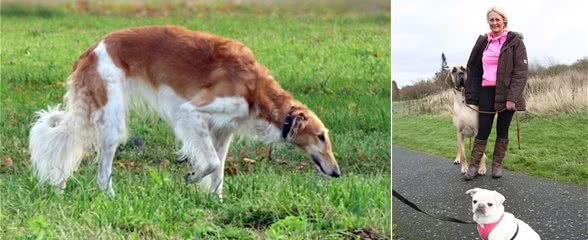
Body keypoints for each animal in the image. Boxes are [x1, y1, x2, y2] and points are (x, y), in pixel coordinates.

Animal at [28, 25, 340, 199]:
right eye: (321, 137)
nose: (337, 173)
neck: (255, 90)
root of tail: (91, 49)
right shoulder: (191, 113)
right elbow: (210, 163)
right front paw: (191, 176)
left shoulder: (222, 130)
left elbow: (219, 170)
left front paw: (216, 201)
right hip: (112, 123)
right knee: (102, 174)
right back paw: (110, 198)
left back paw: (61, 190)